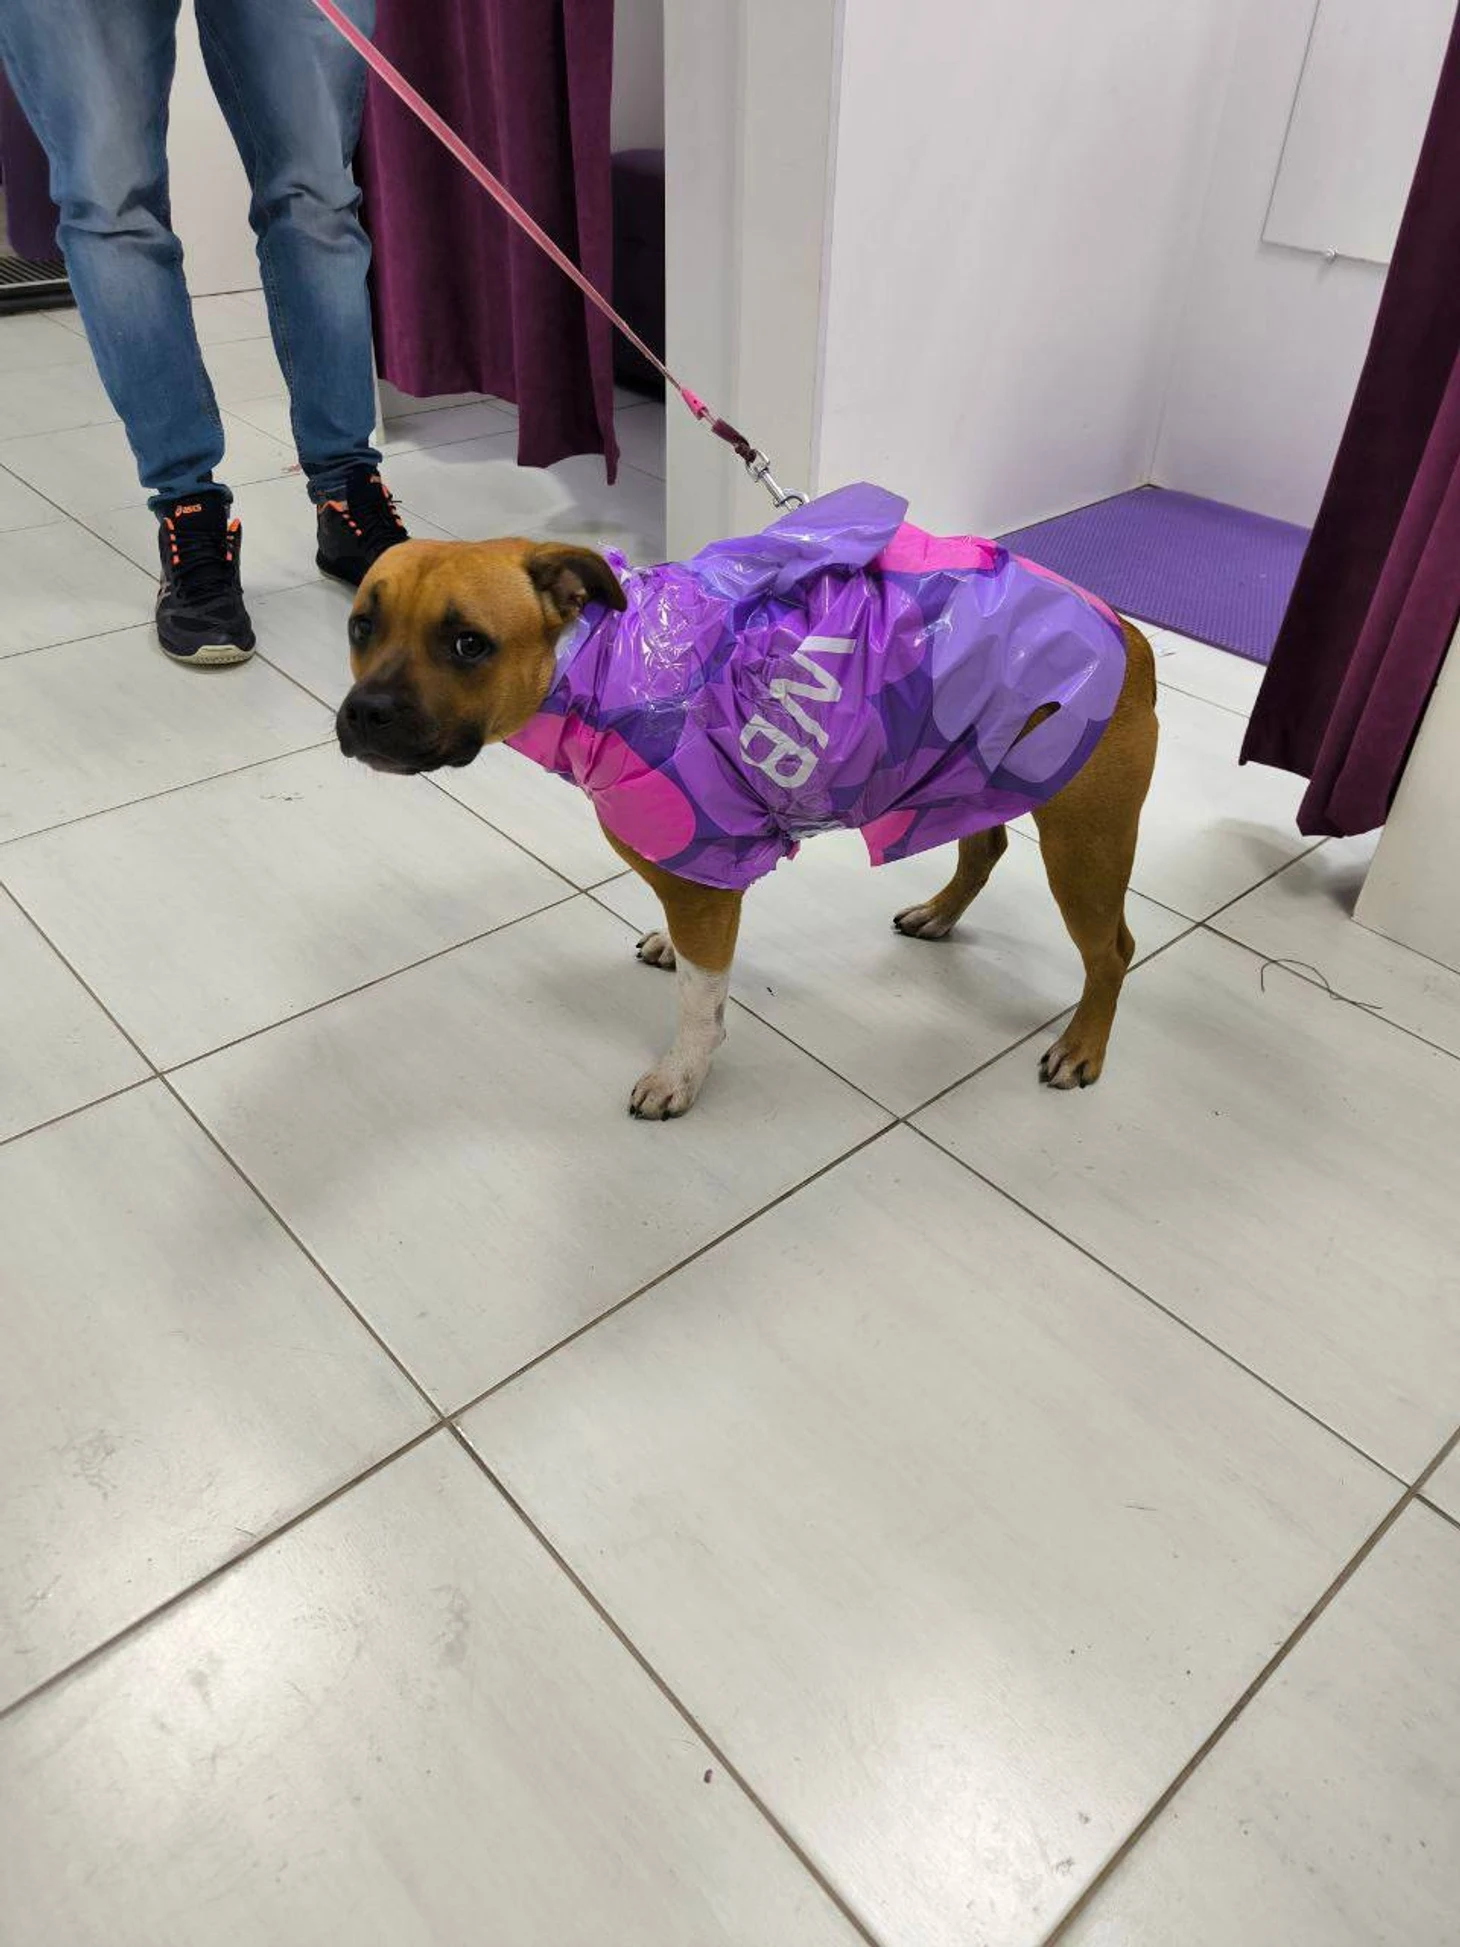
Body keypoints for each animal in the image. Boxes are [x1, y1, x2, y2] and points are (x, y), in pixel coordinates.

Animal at [336, 483, 1157, 1119]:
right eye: (360, 625)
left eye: (469, 644)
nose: (365, 712)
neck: (606, 658)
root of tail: (1128, 631)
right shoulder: (702, 873)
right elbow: (699, 962)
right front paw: (671, 954)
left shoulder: (702, 871)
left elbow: (701, 1004)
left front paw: (681, 1074)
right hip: (967, 776)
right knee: (985, 846)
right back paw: (940, 913)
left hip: (1084, 843)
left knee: (1113, 951)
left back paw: (1082, 1045)